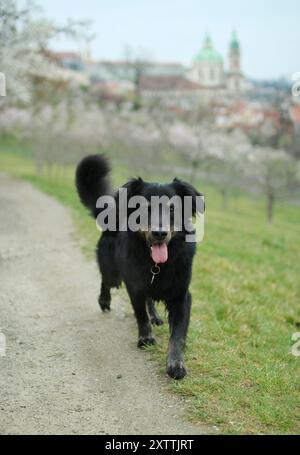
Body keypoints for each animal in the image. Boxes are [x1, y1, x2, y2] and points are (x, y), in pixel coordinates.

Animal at [75, 155, 204, 380]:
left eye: (172, 209)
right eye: (145, 208)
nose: (159, 233)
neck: (157, 264)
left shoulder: (181, 295)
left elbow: (177, 335)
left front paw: (176, 363)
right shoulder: (133, 286)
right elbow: (140, 314)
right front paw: (146, 338)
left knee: (150, 298)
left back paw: (156, 316)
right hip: (113, 272)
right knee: (106, 280)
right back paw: (104, 300)